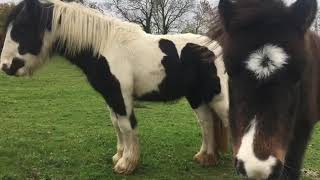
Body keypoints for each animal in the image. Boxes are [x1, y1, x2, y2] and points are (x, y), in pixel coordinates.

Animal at [0, 0, 230, 174]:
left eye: (21, 28)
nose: (5, 66)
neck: (103, 46)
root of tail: (218, 48)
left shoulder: (121, 96)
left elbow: (127, 126)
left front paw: (126, 164)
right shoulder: (110, 97)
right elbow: (116, 125)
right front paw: (118, 156)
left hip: (220, 98)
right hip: (198, 97)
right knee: (206, 123)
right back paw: (205, 157)